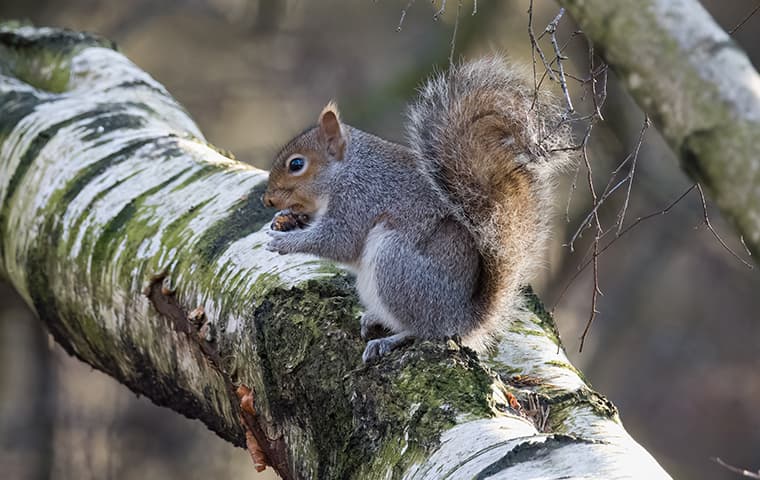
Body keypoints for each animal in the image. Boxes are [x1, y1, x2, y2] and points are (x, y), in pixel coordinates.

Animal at [263, 57, 572, 363]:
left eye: (296, 164)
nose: (267, 200)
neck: (346, 169)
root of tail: (463, 319)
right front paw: (285, 220)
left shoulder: (359, 199)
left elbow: (339, 241)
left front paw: (285, 242)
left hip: (395, 265)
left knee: (425, 331)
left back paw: (390, 339)